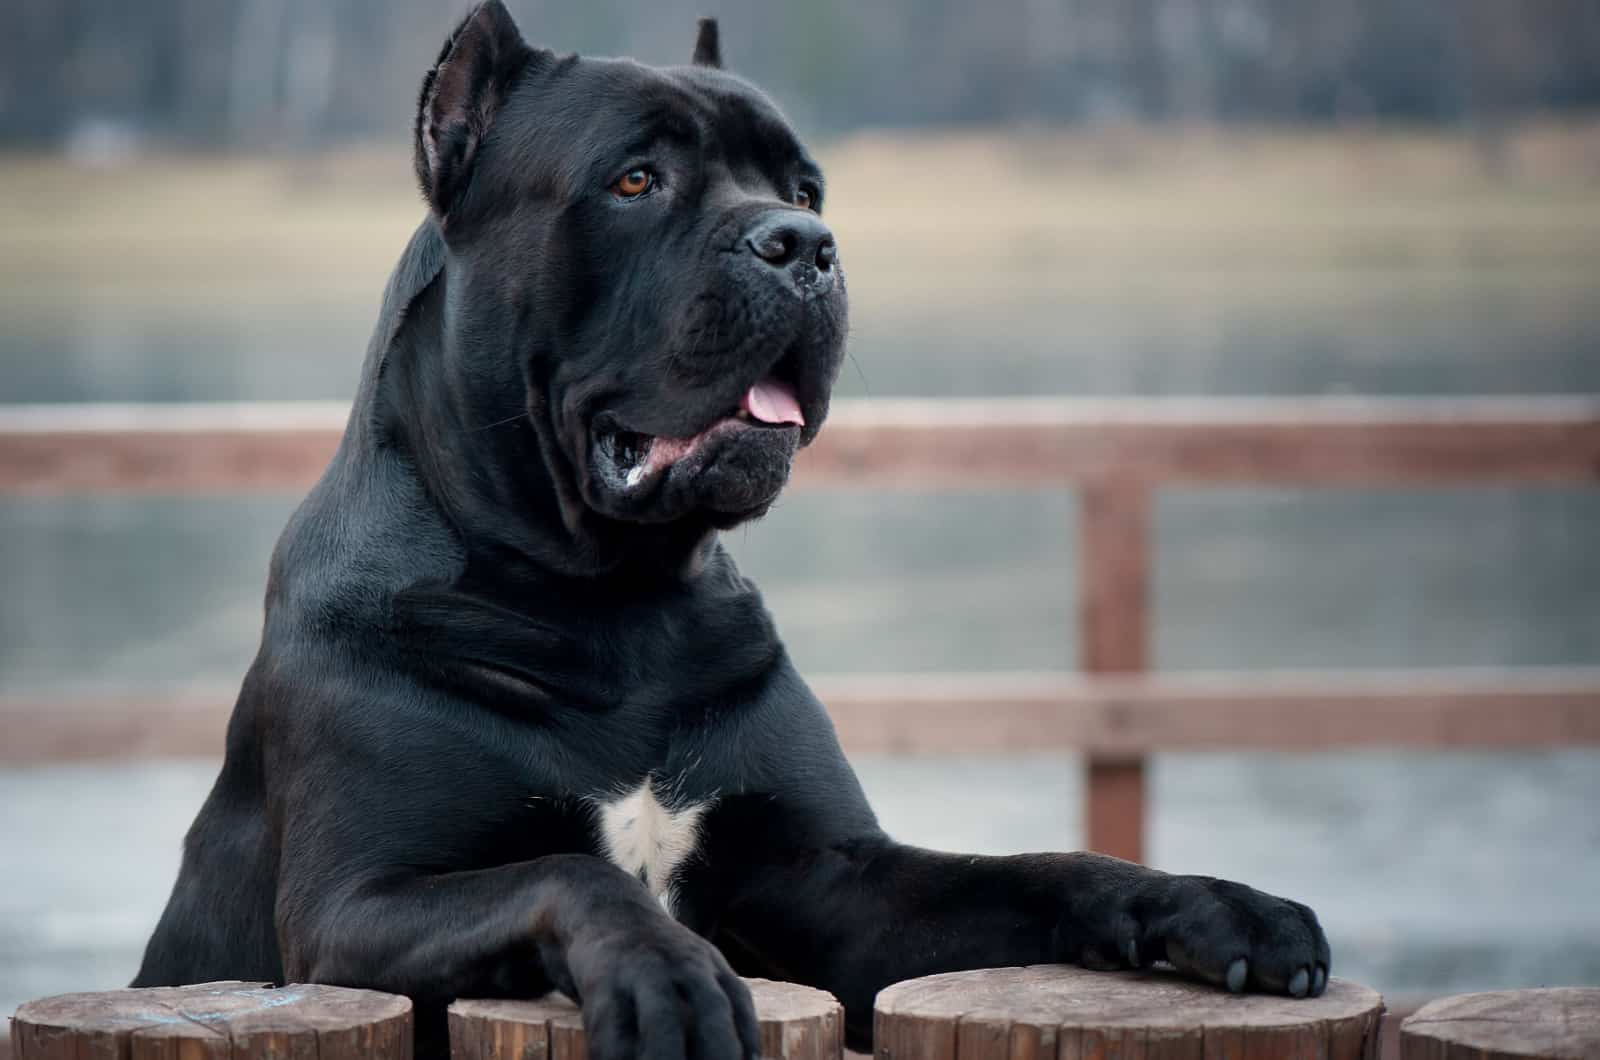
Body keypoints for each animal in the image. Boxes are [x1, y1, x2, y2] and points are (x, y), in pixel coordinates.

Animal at [137, 4, 1331, 1056]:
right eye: (635, 180)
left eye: (803, 188)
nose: (805, 242)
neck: (610, 599)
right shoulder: (351, 907)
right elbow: (569, 871)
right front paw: (669, 976)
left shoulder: (835, 880)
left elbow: (1042, 868)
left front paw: (1216, 904)